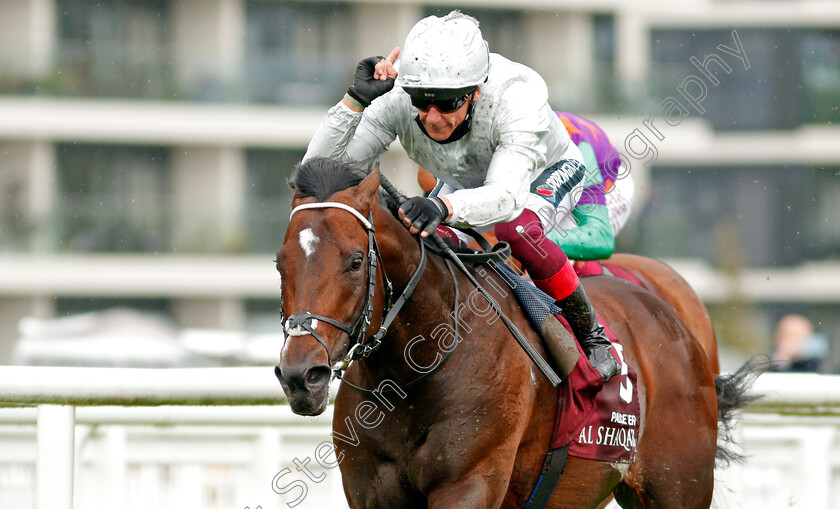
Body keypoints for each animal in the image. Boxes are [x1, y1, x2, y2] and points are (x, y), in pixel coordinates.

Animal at [276, 158, 756, 504]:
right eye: (281, 262)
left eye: (356, 261)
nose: (301, 375)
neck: (414, 371)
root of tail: (671, 319)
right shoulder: (371, 490)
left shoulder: (469, 483)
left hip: (677, 483)